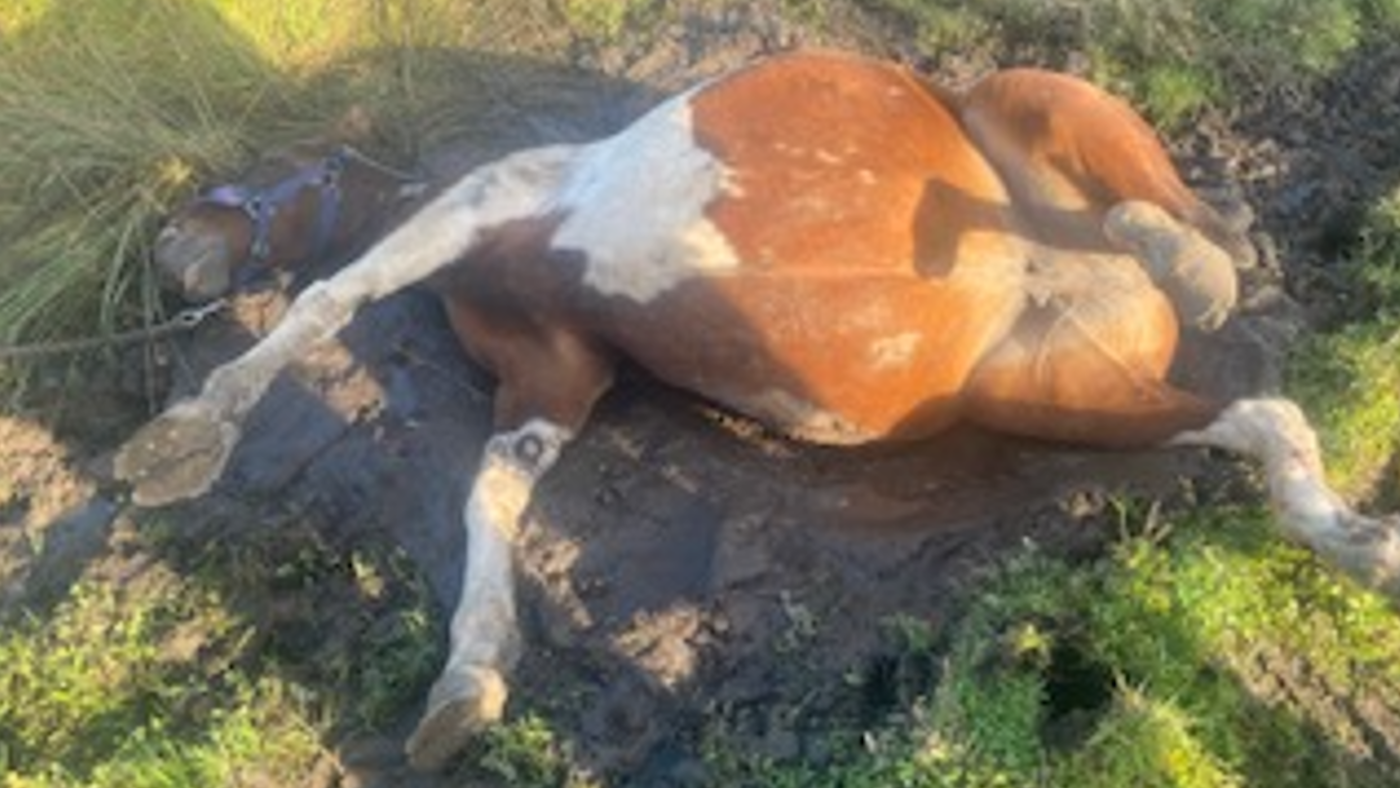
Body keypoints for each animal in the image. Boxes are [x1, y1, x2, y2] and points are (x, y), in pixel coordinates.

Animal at [115, 50, 1400, 771]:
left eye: (257, 175)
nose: (167, 252)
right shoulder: (551, 378)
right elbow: (492, 491)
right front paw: (468, 678)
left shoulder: (475, 211)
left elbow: (326, 297)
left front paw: (181, 440)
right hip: (1067, 393)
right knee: (1264, 415)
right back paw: (1355, 541)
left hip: (1036, 108)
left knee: (1174, 216)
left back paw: (1189, 257)